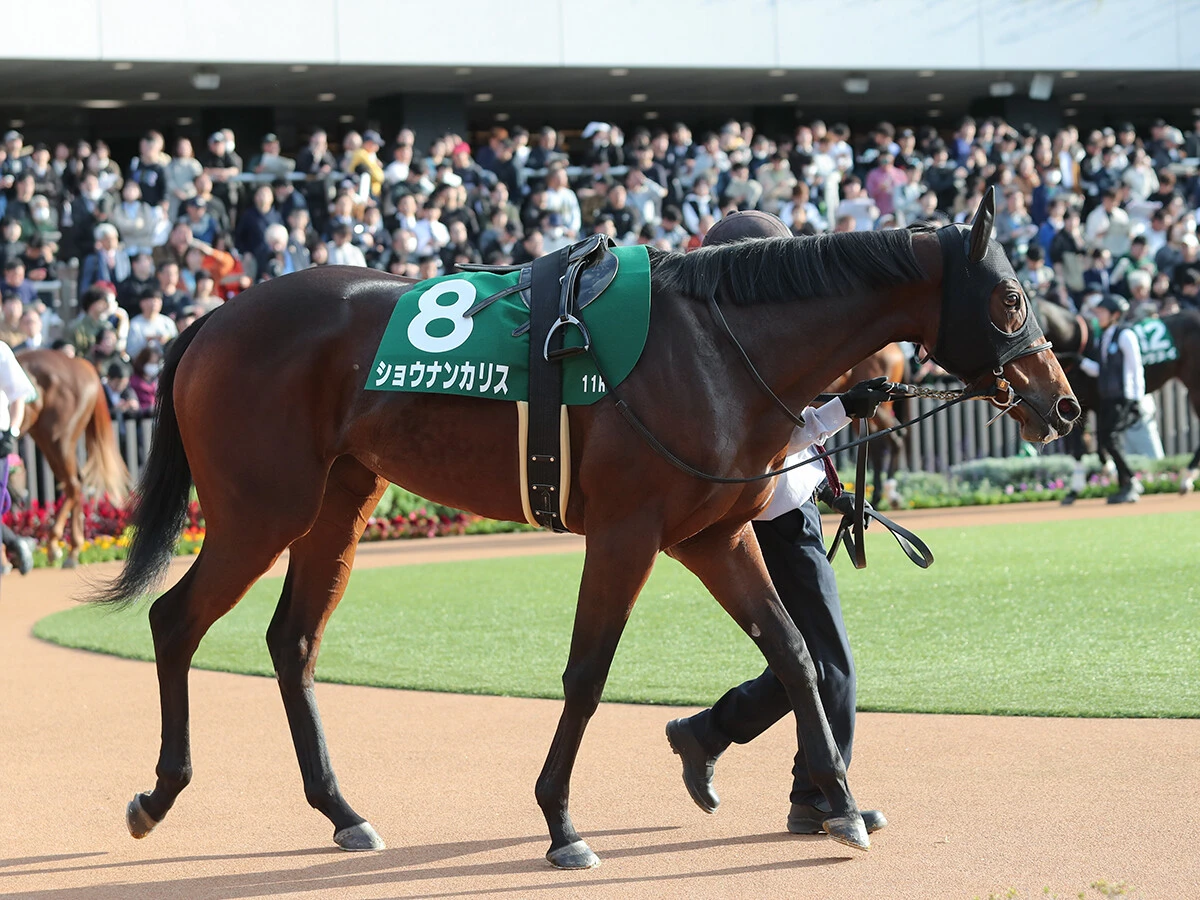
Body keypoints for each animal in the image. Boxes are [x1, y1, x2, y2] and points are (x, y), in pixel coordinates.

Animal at [13, 349, 130, 566]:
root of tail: (81, 363)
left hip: (58, 438)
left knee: (73, 485)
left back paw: (61, 547)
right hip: (45, 437)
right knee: (75, 483)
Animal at [92, 192, 1079, 868]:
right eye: (1009, 301)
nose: (1063, 404)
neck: (714, 347)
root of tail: (215, 318)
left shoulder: (714, 538)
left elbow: (798, 654)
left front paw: (836, 801)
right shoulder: (628, 534)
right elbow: (588, 673)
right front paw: (561, 821)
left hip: (340, 501)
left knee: (292, 641)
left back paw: (342, 810)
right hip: (260, 509)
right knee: (176, 620)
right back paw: (158, 795)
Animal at [1035, 300, 1200, 488]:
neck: (1085, 344)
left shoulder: (1101, 405)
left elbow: (1103, 442)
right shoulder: (1073, 406)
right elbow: (1083, 447)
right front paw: (1079, 486)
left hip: (1195, 385)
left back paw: (1187, 476)